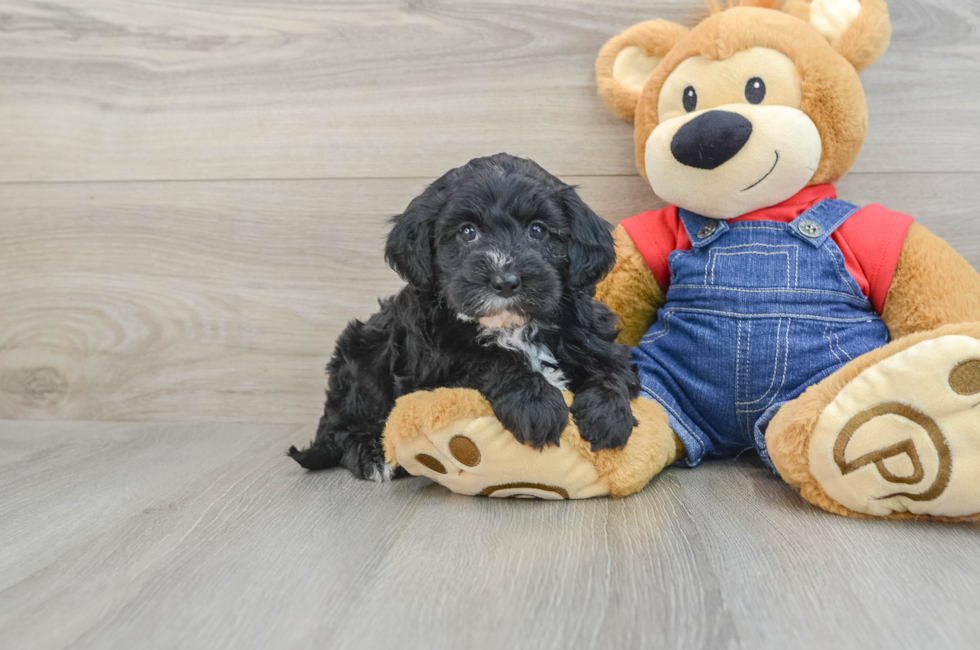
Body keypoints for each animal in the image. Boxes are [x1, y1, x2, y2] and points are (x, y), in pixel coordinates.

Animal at [290, 151, 644, 476]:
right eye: (467, 232)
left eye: (538, 230)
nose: (505, 280)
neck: (512, 326)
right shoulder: (433, 367)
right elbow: (488, 359)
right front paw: (537, 404)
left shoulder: (592, 335)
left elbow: (613, 367)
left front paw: (608, 414)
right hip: (363, 352)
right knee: (340, 427)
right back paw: (370, 453)